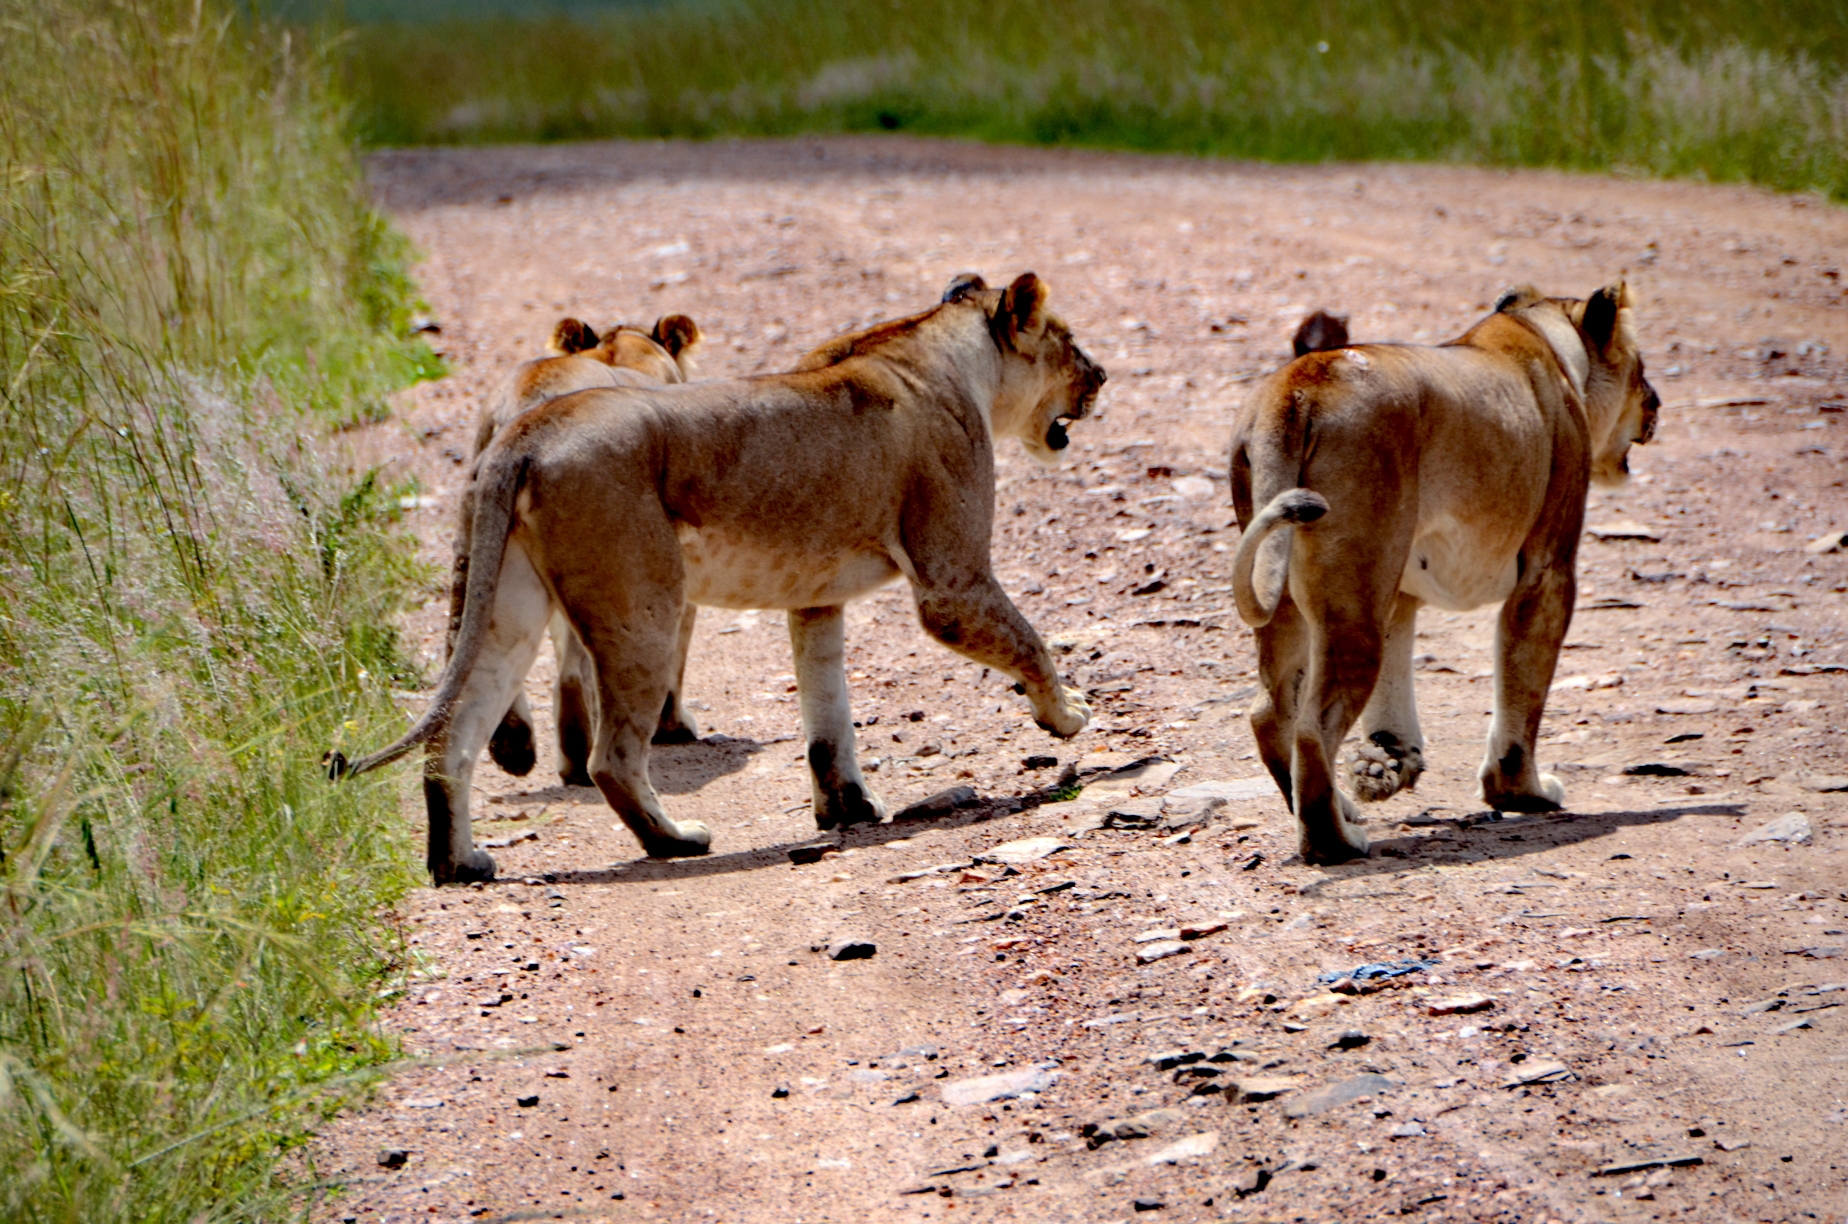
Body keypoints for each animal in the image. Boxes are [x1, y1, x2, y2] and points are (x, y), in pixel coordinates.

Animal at [1227, 282, 1663, 869]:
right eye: (1642, 370)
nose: (1656, 403)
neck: (1542, 335)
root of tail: (1297, 387)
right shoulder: (1549, 569)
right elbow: (1524, 691)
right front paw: (1523, 792)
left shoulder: (1400, 588)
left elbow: (1397, 686)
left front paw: (1390, 762)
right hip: (1354, 596)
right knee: (1312, 727)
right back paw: (1334, 840)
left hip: (1293, 586)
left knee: (1270, 712)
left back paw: (1344, 808)